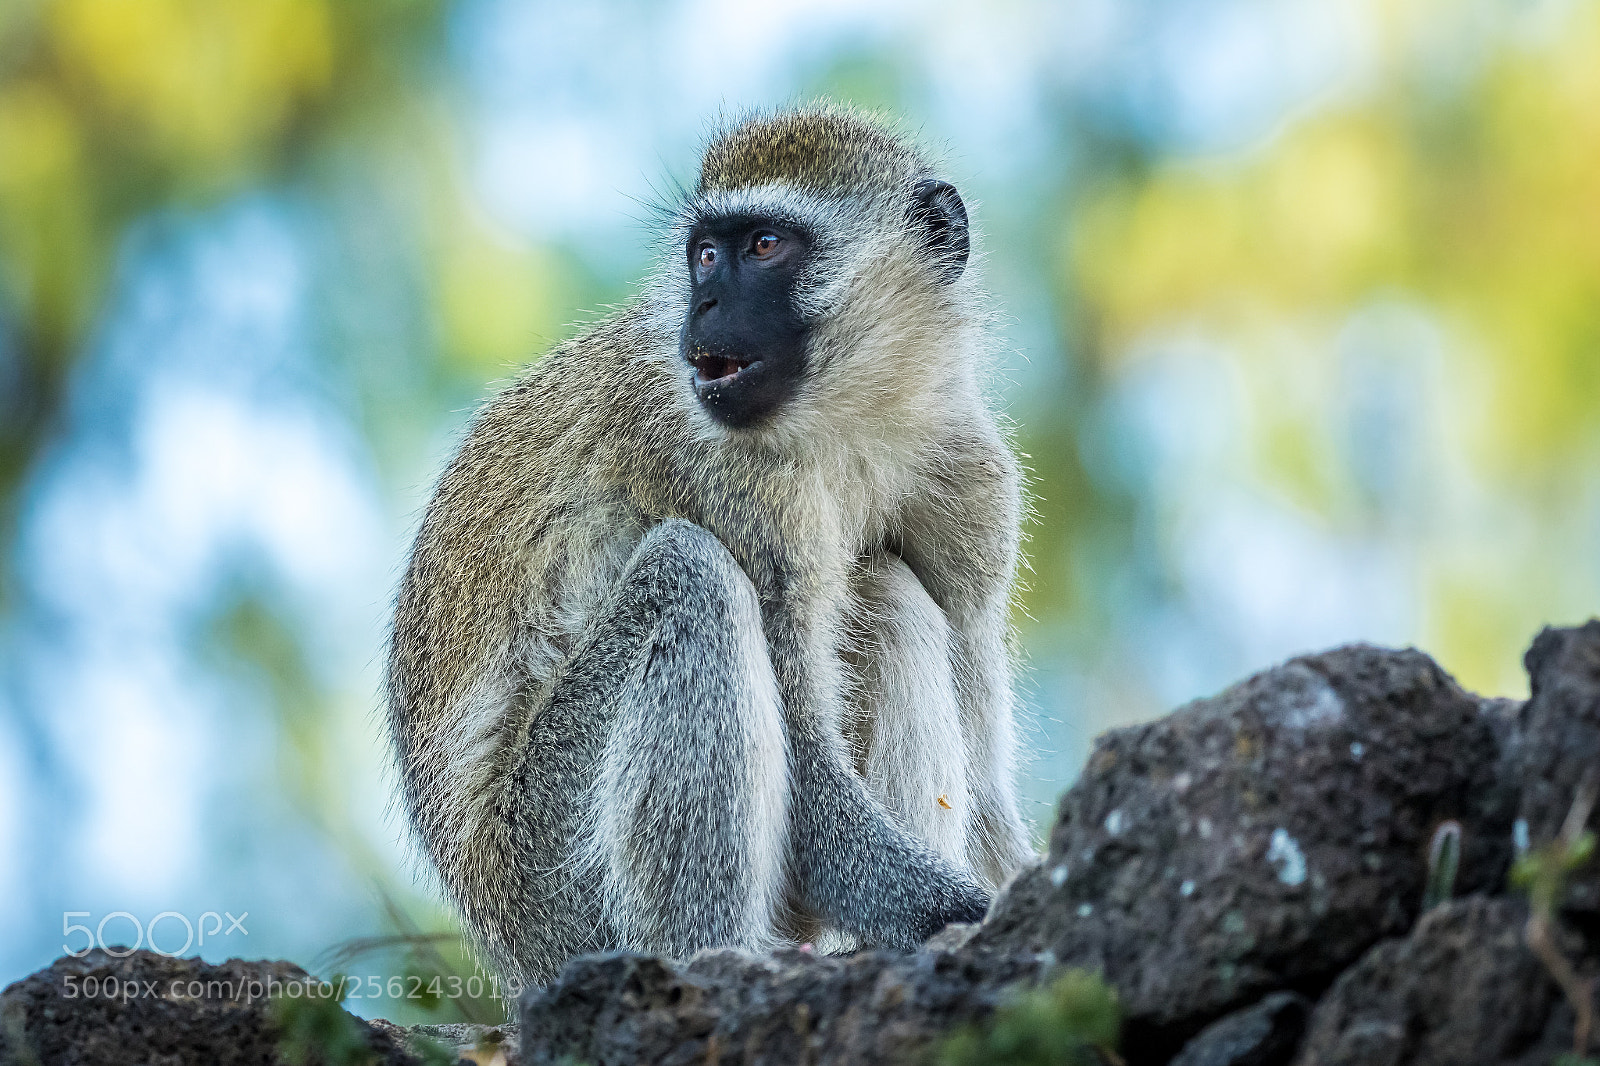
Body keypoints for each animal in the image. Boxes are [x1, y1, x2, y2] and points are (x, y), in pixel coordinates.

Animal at [387, 104, 1034, 988]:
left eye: (763, 245)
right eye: (703, 256)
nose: (707, 305)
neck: (852, 420)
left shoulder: (968, 469)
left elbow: (983, 749)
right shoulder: (720, 476)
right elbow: (809, 769)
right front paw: (963, 913)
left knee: (889, 591)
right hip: (551, 884)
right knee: (689, 574)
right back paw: (712, 959)